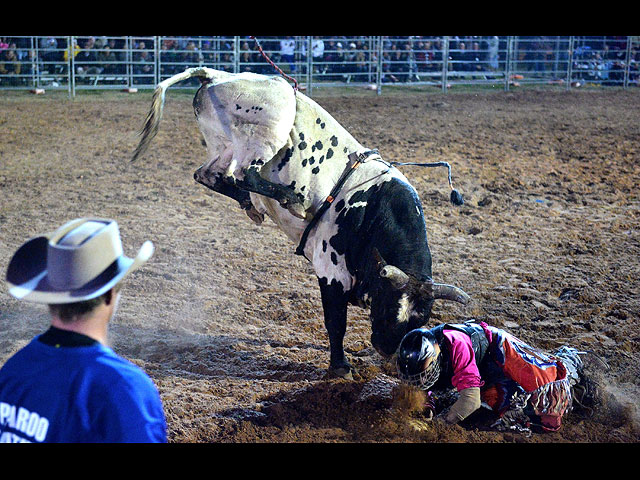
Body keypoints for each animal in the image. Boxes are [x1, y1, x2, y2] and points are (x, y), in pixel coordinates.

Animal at [131, 66, 470, 378]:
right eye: (387, 306)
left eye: (420, 320)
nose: (387, 349)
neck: (371, 210)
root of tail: (216, 75)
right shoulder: (331, 272)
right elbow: (336, 323)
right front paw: (340, 367)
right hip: (272, 123)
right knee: (244, 173)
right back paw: (291, 198)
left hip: (222, 144)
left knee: (211, 175)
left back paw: (250, 203)